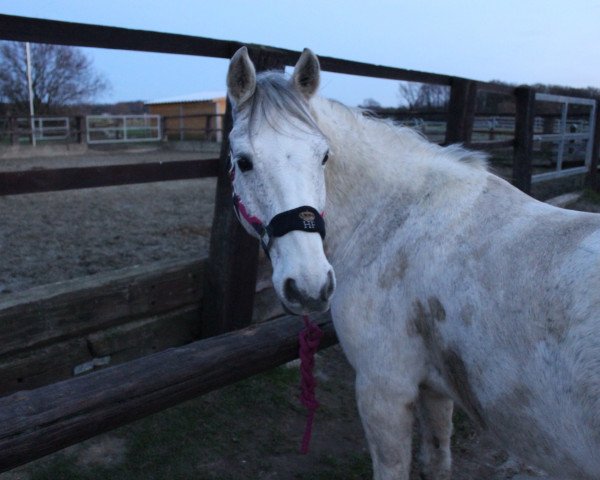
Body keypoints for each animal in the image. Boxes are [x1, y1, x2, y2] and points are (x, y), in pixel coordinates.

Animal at [223, 46, 600, 480]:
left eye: (324, 156)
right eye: (244, 161)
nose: (309, 285)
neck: (397, 221)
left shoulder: (384, 388)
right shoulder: (435, 389)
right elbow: (437, 459)